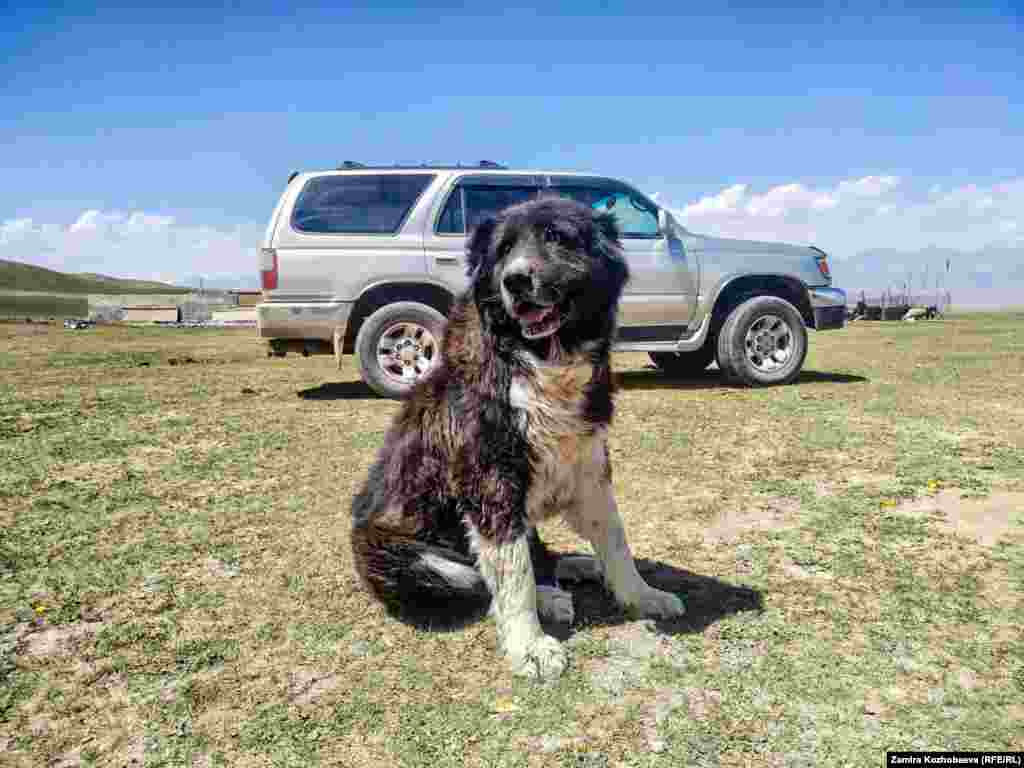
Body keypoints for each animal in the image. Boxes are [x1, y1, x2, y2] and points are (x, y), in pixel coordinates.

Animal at [352, 196, 688, 679]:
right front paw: (529, 645)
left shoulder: (589, 466)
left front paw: (640, 595)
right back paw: (549, 596)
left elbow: (615, 540)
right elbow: (513, 573)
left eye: (557, 237)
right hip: (414, 562)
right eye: (504, 249)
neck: (541, 360)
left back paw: (577, 566)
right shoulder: (489, 480)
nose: (515, 280)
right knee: (479, 579)